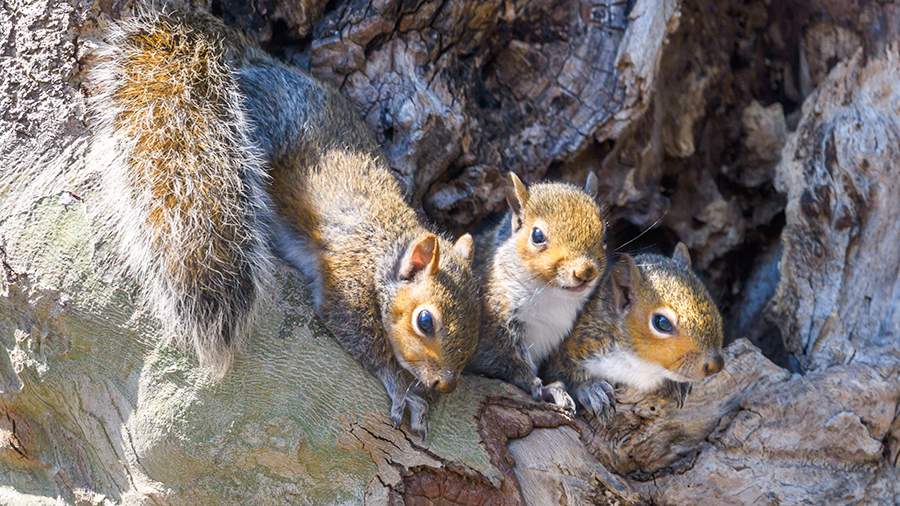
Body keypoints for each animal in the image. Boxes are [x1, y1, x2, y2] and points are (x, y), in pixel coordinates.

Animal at [89, 5, 482, 436]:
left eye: (478, 321)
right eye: (425, 321)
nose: (445, 384)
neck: (388, 243)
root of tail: (254, 62)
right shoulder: (348, 276)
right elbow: (355, 330)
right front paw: (400, 386)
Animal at [464, 173, 604, 412]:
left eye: (603, 232)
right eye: (537, 235)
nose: (585, 272)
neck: (551, 296)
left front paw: (588, 387)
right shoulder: (494, 322)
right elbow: (507, 362)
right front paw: (546, 388)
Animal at [540, 243, 724, 418]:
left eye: (712, 304)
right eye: (662, 323)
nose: (716, 365)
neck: (640, 365)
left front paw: (679, 384)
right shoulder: (572, 349)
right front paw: (590, 388)